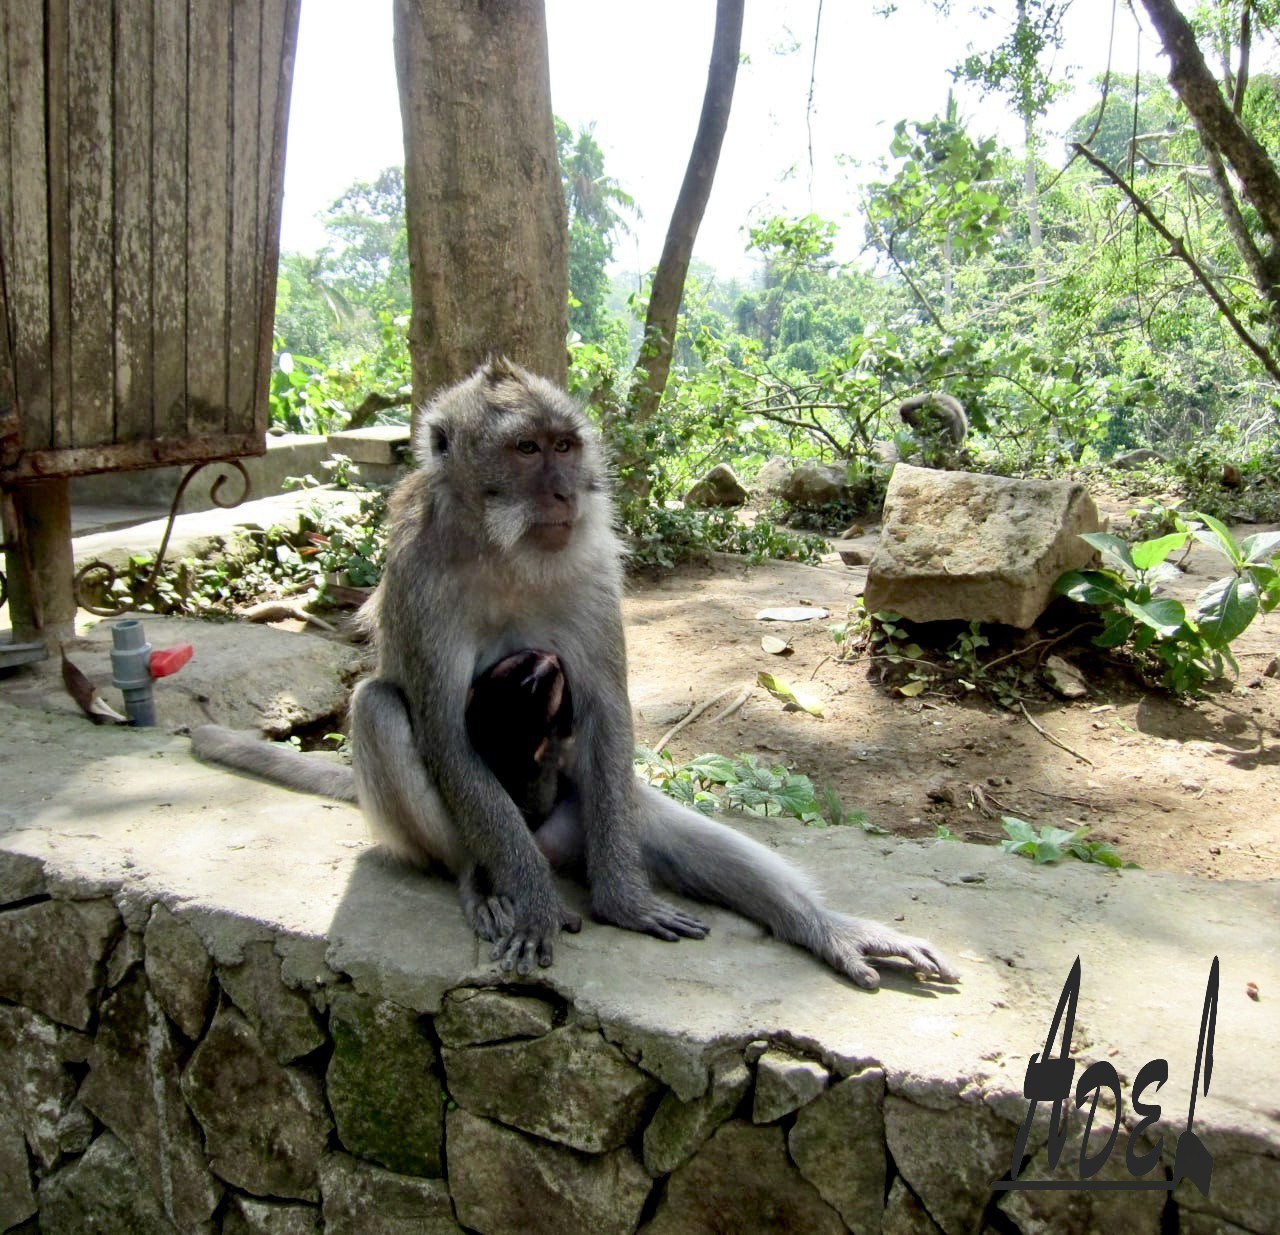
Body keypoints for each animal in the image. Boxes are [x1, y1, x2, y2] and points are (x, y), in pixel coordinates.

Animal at [193, 358, 958, 989]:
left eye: (565, 445)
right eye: (526, 449)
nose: (565, 492)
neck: (501, 547)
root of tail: (550, 845)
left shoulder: (593, 567)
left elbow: (607, 713)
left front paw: (623, 900)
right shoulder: (418, 578)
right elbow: (442, 733)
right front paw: (531, 904)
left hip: (585, 817)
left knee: (645, 810)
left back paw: (823, 928)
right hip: (462, 834)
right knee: (378, 706)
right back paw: (484, 880)